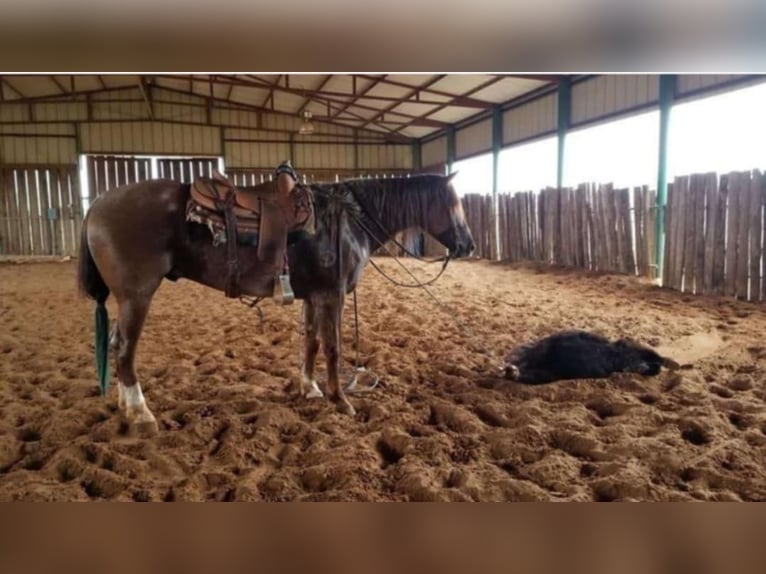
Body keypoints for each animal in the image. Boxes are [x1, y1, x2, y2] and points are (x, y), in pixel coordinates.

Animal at [78, 169, 474, 434]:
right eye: (453, 203)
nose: (468, 245)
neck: (348, 220)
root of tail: (97, 203)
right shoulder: (332, 295)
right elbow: (333, 346)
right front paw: (340, 400)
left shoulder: (314, 295)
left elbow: (311, 341)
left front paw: (310, 389)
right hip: (137, 296)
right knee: (124, 348)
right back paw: (140, 412)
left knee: (116, 345)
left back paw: (124, 405)